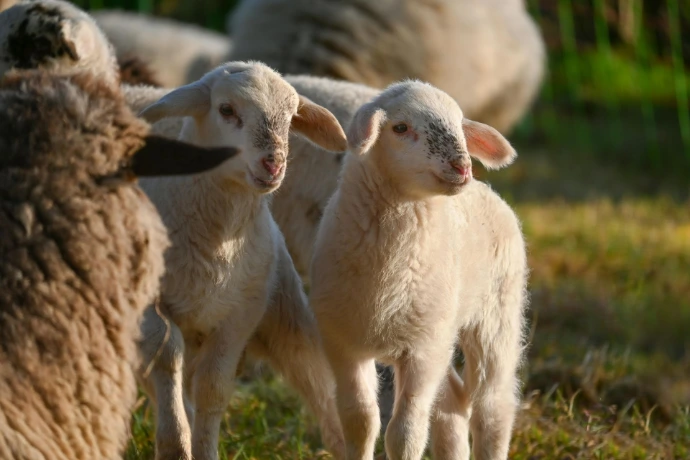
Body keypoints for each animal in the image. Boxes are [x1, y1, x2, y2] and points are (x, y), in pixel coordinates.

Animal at [135, 61, 348, 460]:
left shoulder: (240, 315)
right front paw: (177, 445)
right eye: (226, 110)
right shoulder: (149, 307)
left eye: (291, 117)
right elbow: (167, 358)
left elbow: (213, 387)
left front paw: (203, 451)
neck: (218, 244)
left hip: (290, 319)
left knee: (321, 390)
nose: (273, 163)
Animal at [309, 80, 528, 460]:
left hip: (496, 315)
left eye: (460, 127)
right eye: (400, 128)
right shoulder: (344, 344)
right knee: (452, 404)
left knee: (492, 407)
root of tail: (485, 189)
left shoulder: (421, 350)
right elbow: (360, 421)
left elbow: (405, 432)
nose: (462, 166)